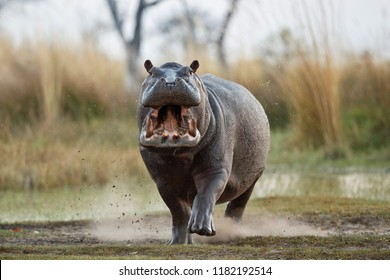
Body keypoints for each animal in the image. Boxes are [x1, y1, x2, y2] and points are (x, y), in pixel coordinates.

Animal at [138, 60, 272, 244]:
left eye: (190, 71)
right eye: (151, 72)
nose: (170, 82)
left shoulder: (214, 168)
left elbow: (206, 193)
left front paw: (202, 228)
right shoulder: (163, 180)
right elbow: (178, 210)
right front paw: (178, 242)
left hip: (253, 178)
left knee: (238, 204)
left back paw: (232, 231)